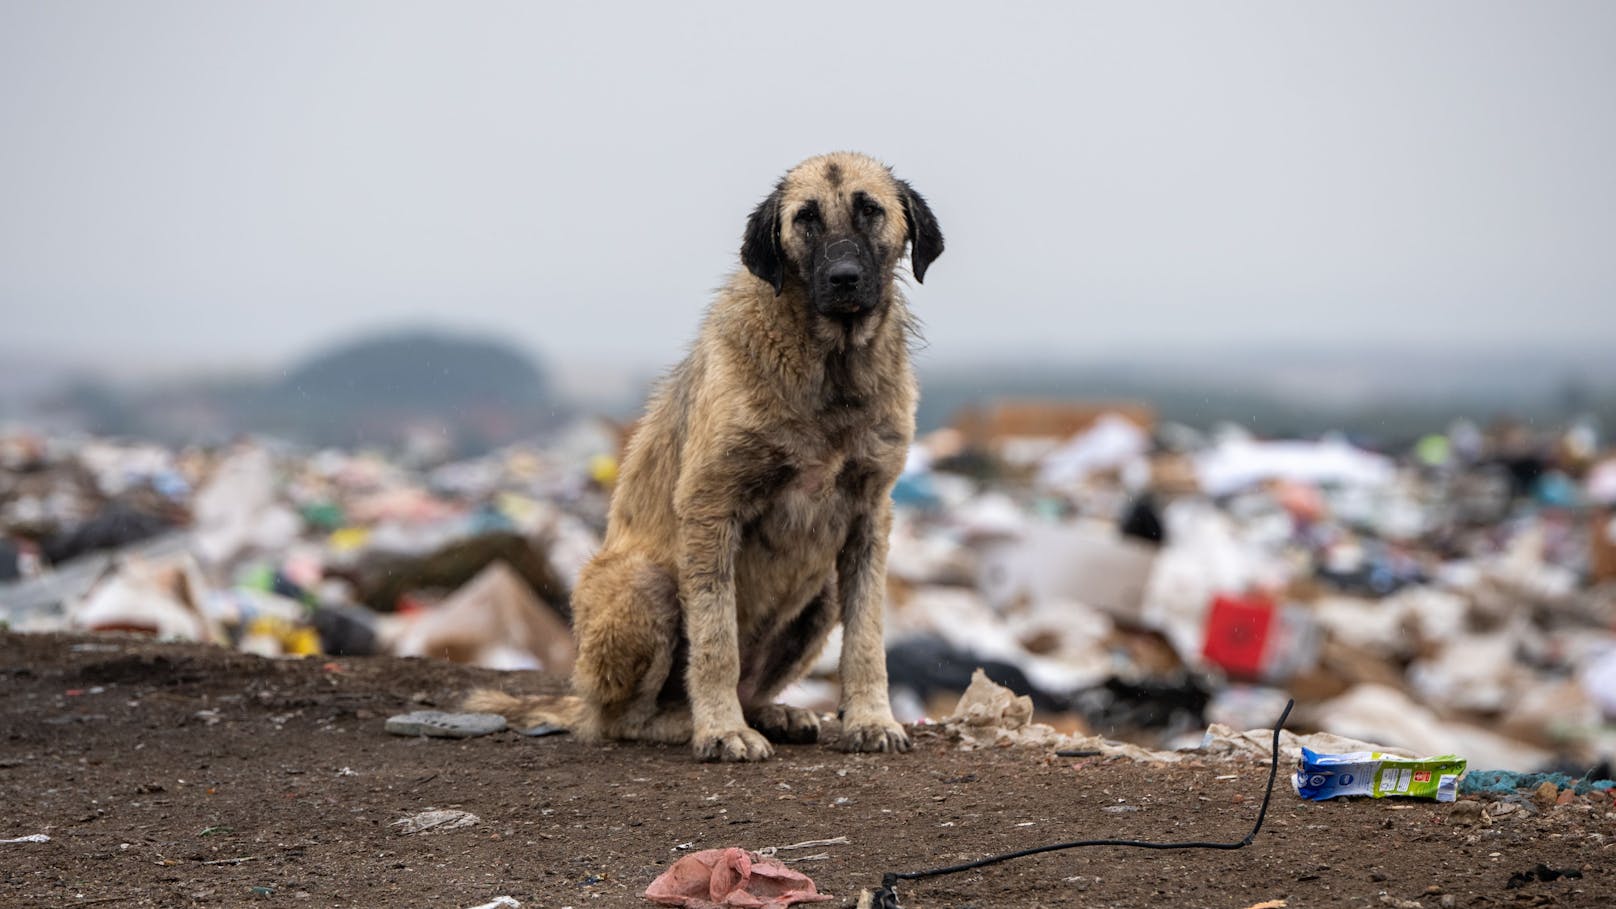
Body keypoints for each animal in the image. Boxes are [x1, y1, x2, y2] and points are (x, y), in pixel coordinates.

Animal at [468, 153, 943, 756]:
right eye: (806, 219)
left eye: (870, 210)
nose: (843, 279)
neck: (829, 365)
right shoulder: (711, 507)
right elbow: (716, 638)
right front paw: (720, 729)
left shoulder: (868, 517)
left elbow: (867, 638)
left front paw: (870, 718)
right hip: (645, 585)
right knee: (622, 718)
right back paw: (686, 721)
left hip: (821, 595)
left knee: (755, 682)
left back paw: (770, 713)